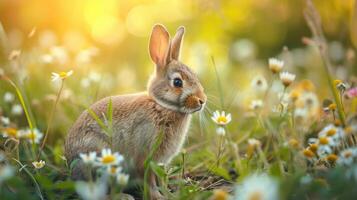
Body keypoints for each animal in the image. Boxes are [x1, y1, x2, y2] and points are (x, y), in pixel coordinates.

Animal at [64, 23, 206, 198]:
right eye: (177, 82)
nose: (202, 100)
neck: (161, 106)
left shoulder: (160, 162)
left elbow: (161, 179)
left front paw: (168, 194)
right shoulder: (145, 156)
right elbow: (149, 181)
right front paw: (158, 197)